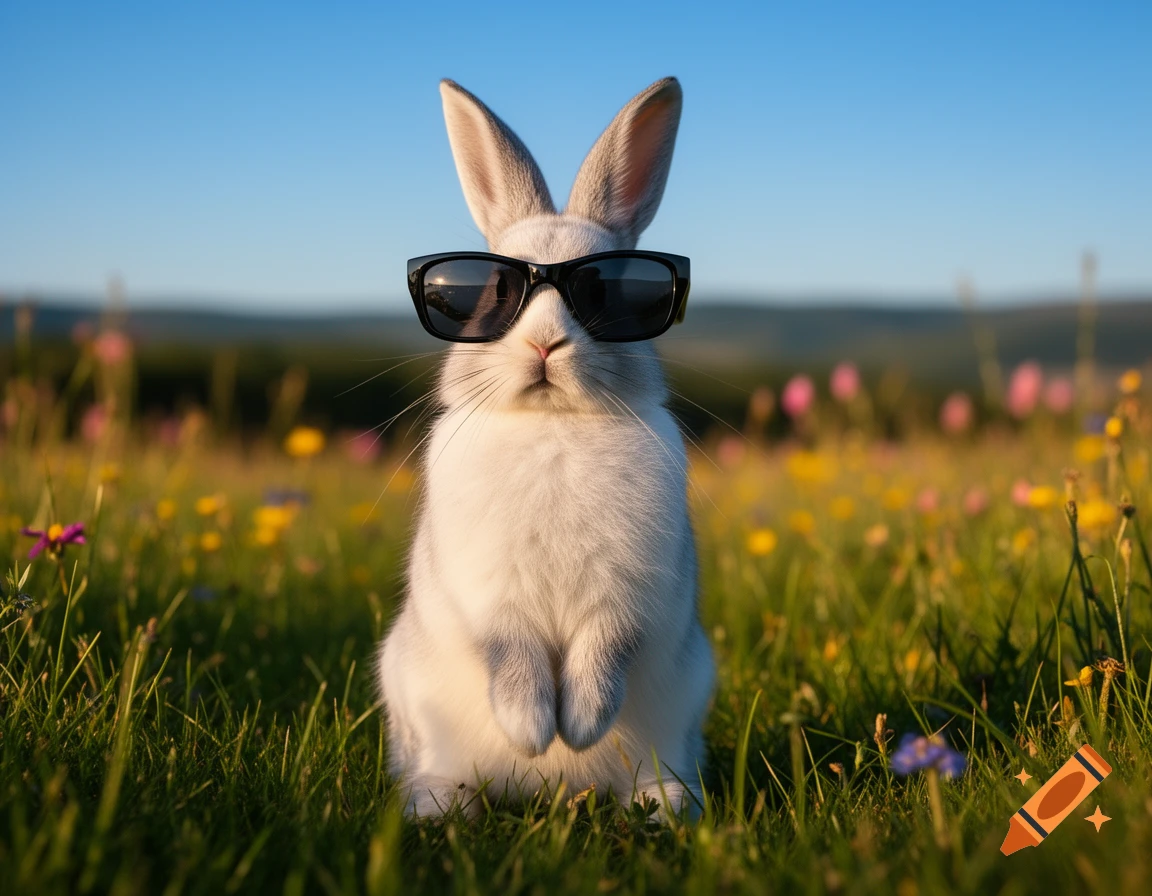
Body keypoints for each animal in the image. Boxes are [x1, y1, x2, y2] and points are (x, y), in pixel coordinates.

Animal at [376, 76, 714, 820]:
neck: (552, 426)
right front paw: (534, 732)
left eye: (607, 290)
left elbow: (602, 654)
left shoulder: (625, 597)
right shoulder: (490, 598)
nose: (544, 344)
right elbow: (514, 658)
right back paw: (442, 804)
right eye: (492, 294)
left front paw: (579, 727)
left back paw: (665, 806)